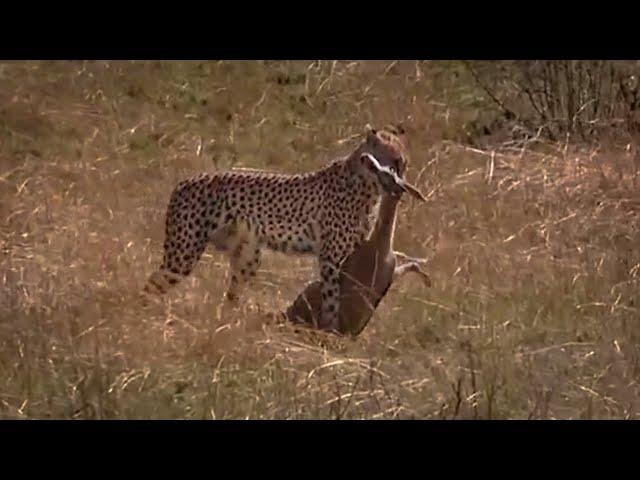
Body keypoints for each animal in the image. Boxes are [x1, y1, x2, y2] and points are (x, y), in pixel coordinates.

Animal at [146, 125, 410, 332]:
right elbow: (331, 298)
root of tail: (184, 182)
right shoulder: (331, 258)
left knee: (230, 296)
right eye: (394, 160)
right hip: (183, 255)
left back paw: (229, 324)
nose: (401, 180)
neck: (366, 182)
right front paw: (328, 330)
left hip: (247, 257)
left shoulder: (353, 253)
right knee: (152, 285)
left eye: (403, 162)